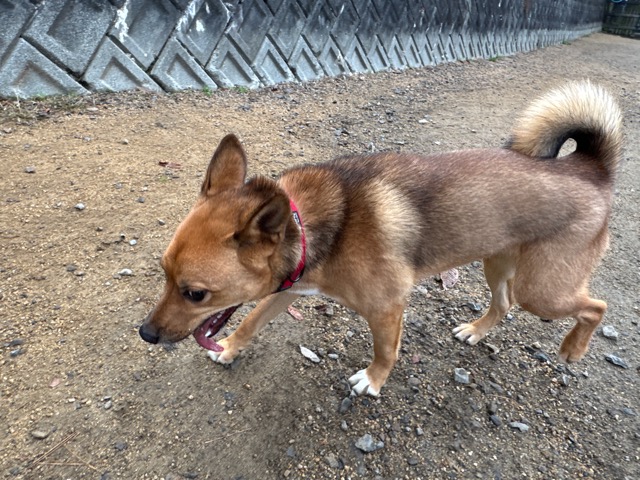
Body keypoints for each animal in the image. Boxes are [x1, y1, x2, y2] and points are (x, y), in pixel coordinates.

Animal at [139, 81, 622, 396]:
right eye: (163, 274)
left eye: (196, 293)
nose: (145, 334)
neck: (310, 226)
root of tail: (589, 168)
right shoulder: (290, 287)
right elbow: (250, 321)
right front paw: (229, 349)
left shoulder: (387, 307)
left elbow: (385, 351)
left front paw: (372, 381)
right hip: (499, 264)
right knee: (503, 304)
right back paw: (475, 331)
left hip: (543, 290)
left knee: (595, 306)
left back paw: (573, 349)